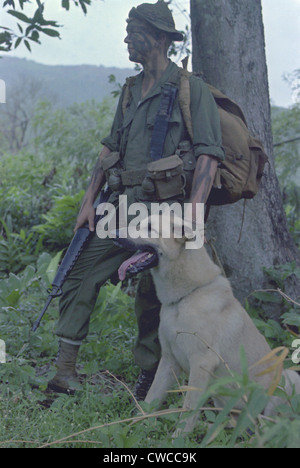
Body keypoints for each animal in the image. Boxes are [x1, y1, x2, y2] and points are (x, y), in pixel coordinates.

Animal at [115, 216, 300, 436]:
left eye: (150, 228)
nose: (113, 234)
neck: (186, 296)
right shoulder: (169, 361)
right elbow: (151, 399)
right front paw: (133, 428)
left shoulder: (201, 364)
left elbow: (187, 410)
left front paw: (178, 437)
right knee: (232, 423)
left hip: (288, 379)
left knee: (270, 426)